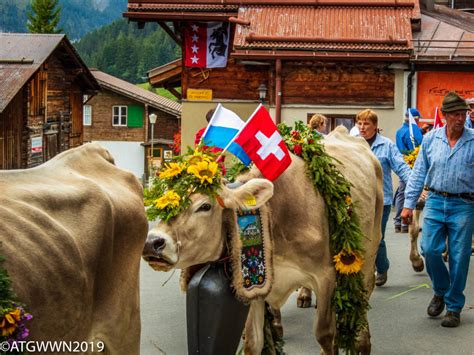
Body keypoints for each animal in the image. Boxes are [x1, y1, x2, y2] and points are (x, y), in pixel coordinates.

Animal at [143, 127, 384, 354]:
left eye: (204, 206)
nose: (152, 242)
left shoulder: (326, 276)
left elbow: (325, 334)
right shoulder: (254, 284)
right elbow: (253, 341)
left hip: (370, 248)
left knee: (365, 292)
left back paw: (363, 341)